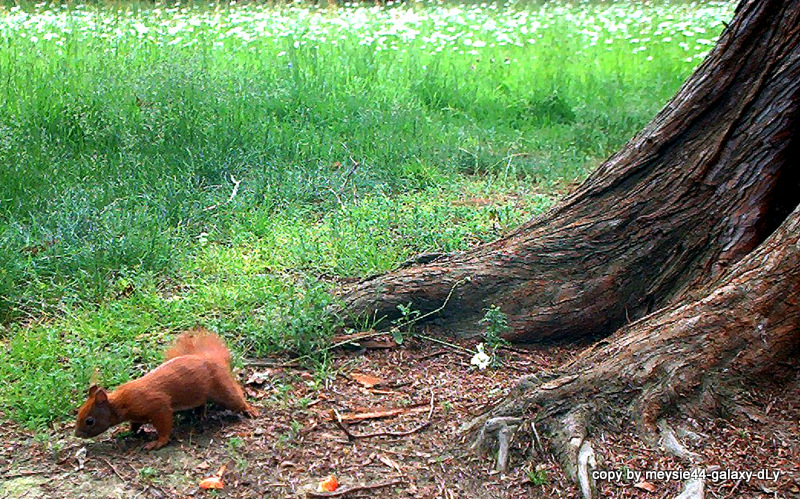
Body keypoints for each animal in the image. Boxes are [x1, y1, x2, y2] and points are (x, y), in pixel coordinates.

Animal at [74, 328, 256, 454]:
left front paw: (158, 442)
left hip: (221, 387)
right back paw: (199, 415)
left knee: (235, 398)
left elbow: (164, 425)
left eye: (89, 421)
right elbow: (135, 425)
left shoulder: (157, 405)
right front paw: (127, 431)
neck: (121, 402)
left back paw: (249, 410)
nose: (77, 434)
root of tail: (210, 358)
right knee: (201, 403)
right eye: (79, 413)